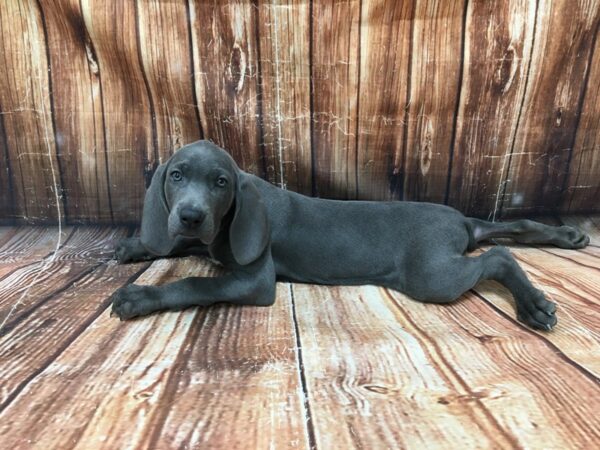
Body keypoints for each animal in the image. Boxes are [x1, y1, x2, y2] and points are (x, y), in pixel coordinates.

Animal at [110, 141, 588, 330]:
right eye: (176, 176)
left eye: (221, 183)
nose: (191, 215)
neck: (226, 224)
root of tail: (457, 224)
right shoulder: (204, 236)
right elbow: (182, 244)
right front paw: (137, 245)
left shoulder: (254, 279)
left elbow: (195, 282)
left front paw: (139, 297)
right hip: (461, 241)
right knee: (508, 229)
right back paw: (569, 238)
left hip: (430, 274)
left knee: (500, 255)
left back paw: (534, 304)